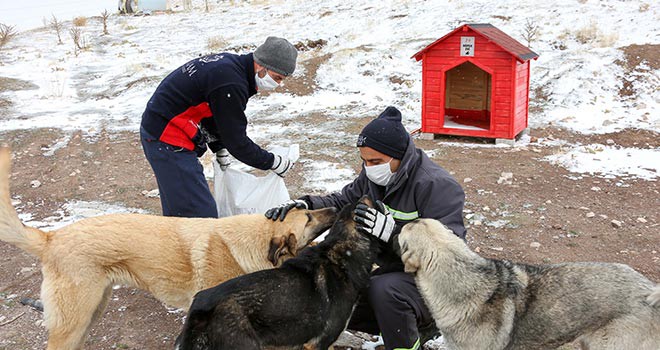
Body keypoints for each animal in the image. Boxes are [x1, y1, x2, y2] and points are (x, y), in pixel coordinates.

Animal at [0, 148, 336, 350]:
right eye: (308, 217)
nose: (335, 207)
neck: (247, 243)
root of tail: (51, 237)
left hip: (91, 312)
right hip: (74, 321)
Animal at [175, 197, 382, 350]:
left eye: (350, 207)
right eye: (362, 208)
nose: (366, 194)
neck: (341, 254)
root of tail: (200, 307)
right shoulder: (319, 343)